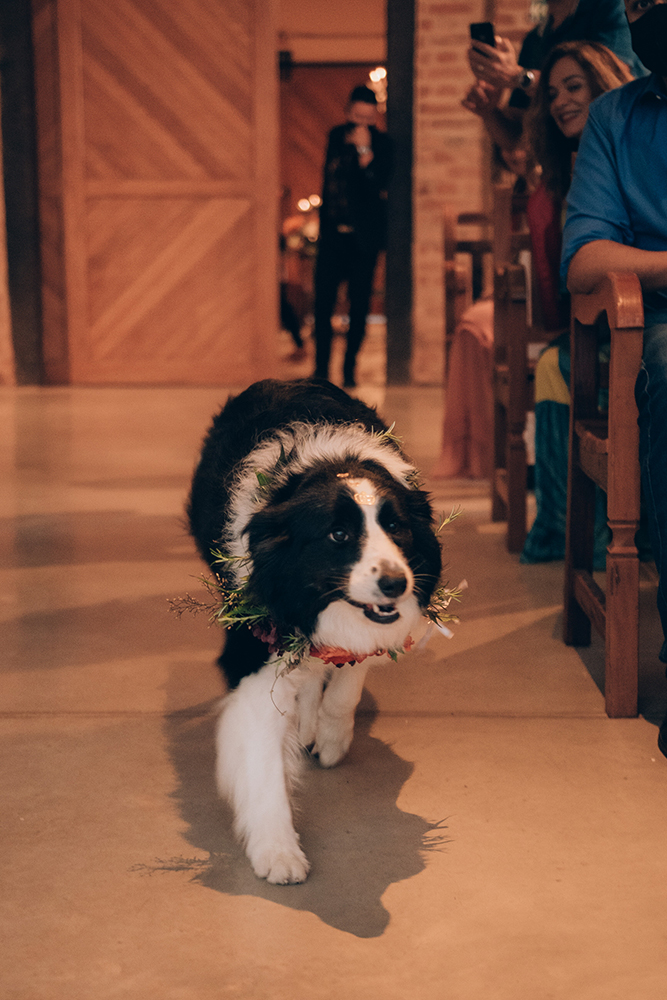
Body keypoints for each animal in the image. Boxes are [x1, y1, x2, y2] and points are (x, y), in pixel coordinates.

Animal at [187, 380, 444, 884]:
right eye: (338, 535)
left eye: (396, 527)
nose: (395, 583)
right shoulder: (256, 648)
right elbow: (263, 761)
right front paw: (277, 851)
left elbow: (348, 677)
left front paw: (331, 737)